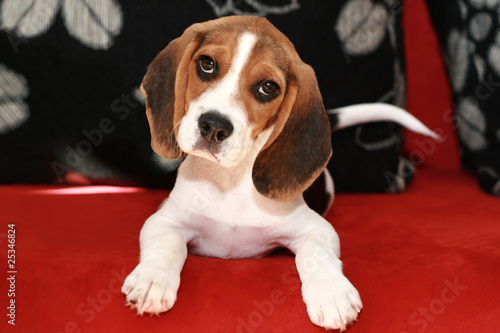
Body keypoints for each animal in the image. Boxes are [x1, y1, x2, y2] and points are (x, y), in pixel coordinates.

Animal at [122, 16, 438, 330]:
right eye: (207, 64)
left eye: (268, 87)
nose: (213, 126)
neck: (231, 179)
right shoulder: (164, 220)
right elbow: (169, 245)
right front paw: (152, 280)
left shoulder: (317, 229)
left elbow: (314, 254)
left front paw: (332, 293)